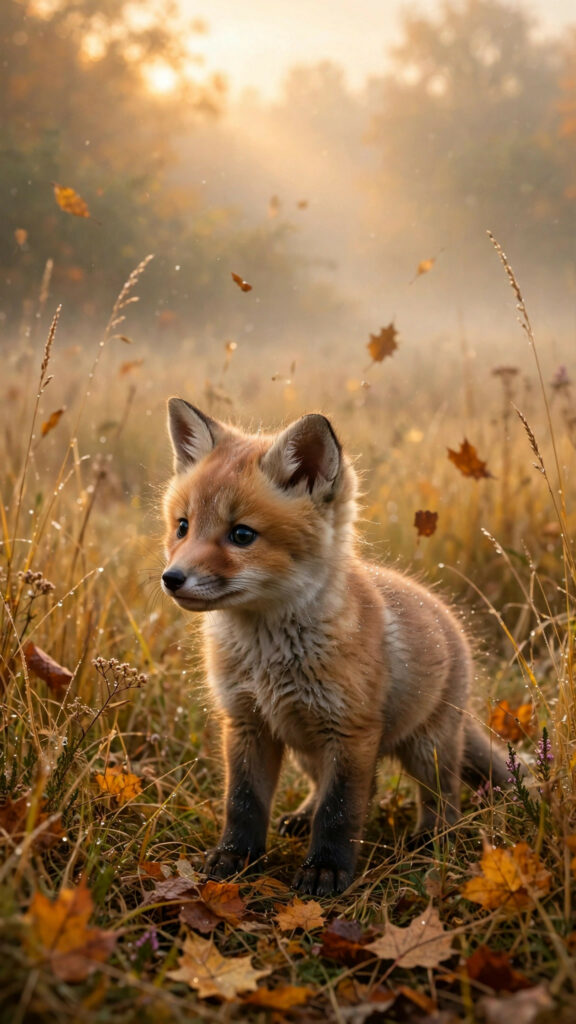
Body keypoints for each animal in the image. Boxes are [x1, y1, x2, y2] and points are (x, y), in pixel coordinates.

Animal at [161, 398, 509, 896]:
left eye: (242, 535)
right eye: (183, 527)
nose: (171, 578)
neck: (269, 658)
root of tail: (445, 613)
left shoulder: (351, 730)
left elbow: (340, 810)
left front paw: (326, 869)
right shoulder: (247, 722)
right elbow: (244, 802)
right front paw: (236, 857)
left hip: (427, 748)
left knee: (443, 795)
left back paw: (434, 838)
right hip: (308, 748)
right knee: (343, 788)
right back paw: (301, 817)